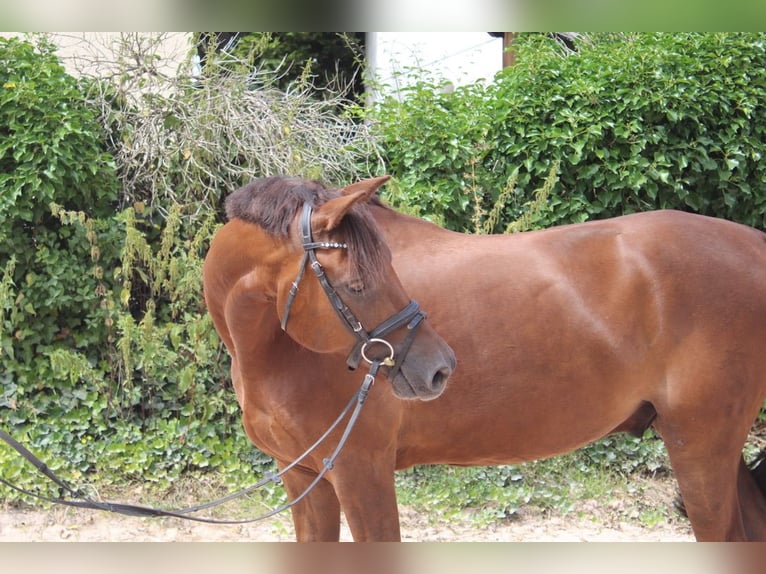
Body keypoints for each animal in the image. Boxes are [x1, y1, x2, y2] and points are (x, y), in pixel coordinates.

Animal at [204, 177, 766, 544]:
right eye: (358, 284)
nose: (439, 367)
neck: (274, 355)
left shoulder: (361, 471)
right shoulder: (304, 479)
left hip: (701, 445)